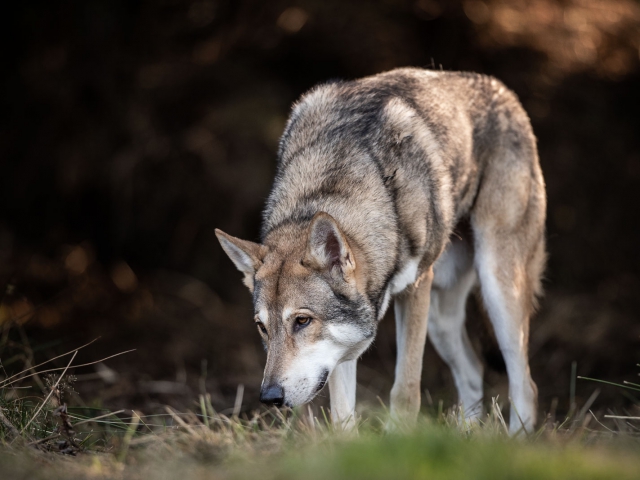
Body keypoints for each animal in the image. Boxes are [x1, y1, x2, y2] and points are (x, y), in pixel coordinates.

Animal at [215, 68, 544, 436]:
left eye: (302, 321)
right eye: (262, 326)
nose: (269, 397)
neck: (335, 180)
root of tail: (500, 88)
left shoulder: (415, 289)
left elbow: (405, 390)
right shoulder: (342, 349)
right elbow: (342, 415)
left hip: (496, 287)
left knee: (525, 385)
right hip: (442, 319)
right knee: (474, 372)